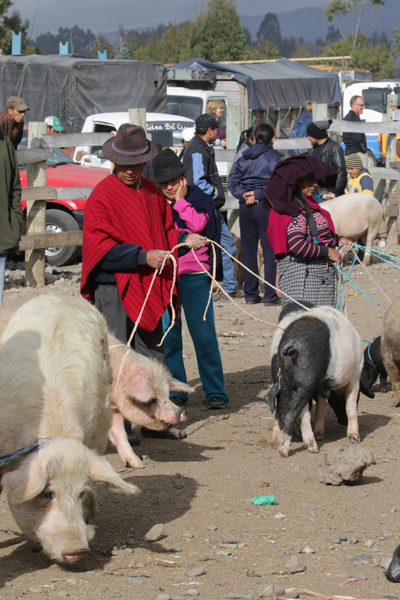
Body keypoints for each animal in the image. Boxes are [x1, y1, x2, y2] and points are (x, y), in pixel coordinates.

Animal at [266, 308, 362, 458]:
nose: (343, 421)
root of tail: (292, 346)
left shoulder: (320, 387)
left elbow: (321, 407)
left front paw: (320, 434)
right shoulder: (355, 377)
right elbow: (351, 407)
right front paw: (355, 438)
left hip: (290, 383)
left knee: (296, 411)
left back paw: (309, 444)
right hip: (306, 383)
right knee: (293, 412)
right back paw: (290, 450)